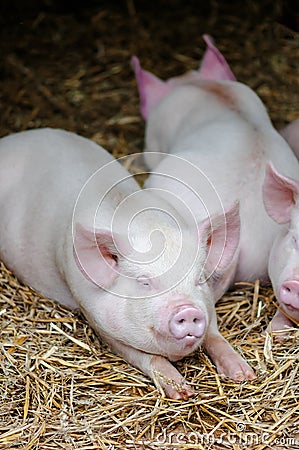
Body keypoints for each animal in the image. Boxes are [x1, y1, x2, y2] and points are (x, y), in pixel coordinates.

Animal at [0, 128, 253, 400]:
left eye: (199, 279)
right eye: (144, 282)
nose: (187, 310)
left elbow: (215, 335)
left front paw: (244, 374)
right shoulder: (96, 317)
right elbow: (147, 357)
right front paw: (182, 393)